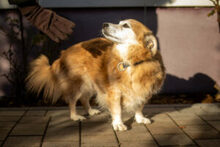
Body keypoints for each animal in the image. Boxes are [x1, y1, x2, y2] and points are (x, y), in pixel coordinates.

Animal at [26, 19, 165, 131]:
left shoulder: (145, 89)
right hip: (78, 84)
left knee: (84, 99)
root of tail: (64, 53)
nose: (104, 24)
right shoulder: (114, 91)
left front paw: (140, 118)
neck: (131, 62)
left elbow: (139, 106)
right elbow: (117, 109)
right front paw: (118, 124)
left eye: (126, 25)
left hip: (91, 83)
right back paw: (75, 116)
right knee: (72, 101)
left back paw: (90, 111)